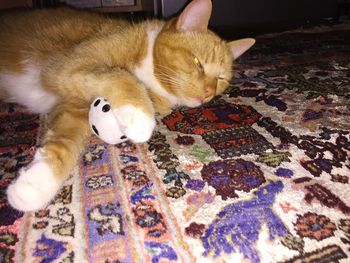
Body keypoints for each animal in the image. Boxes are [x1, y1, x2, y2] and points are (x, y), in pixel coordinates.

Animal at [0, 0, 254, 211]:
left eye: (221, 79)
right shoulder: (65, 66)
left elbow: (63, 146)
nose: (209, 94)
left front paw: (34, 185)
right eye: (197, 62)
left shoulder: (73, 108)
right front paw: (139, 115)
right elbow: (121, 77)